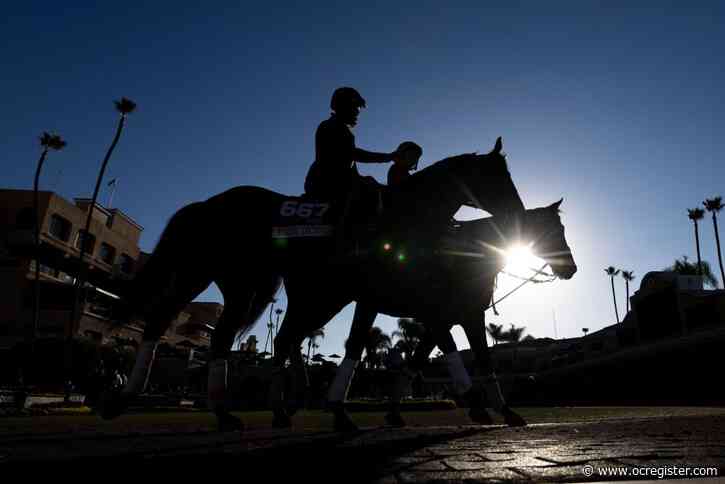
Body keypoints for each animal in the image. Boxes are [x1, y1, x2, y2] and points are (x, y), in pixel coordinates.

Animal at [97, 139, 532, 428]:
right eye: (499, 178)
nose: (518, 214)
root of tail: (208, 204)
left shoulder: (393, 301)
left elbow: (376, 347)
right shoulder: (410, 301)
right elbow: (441, 345)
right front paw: (476, 399)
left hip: (238, 282)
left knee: (226, 334)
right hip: (223, 278)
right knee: (193, 329)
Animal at [268, 200, 576, 432]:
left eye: (561, 228)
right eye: (551, 230)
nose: (570, 268)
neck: (468, 253)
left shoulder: (466, 317)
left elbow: (464, 359)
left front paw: (506, 410)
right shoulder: (437, 317)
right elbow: (450, 353)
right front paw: (475, 404)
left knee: (299, 341)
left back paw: (311, 407)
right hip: (322, 302)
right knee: (286, 341)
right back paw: (289, 410)